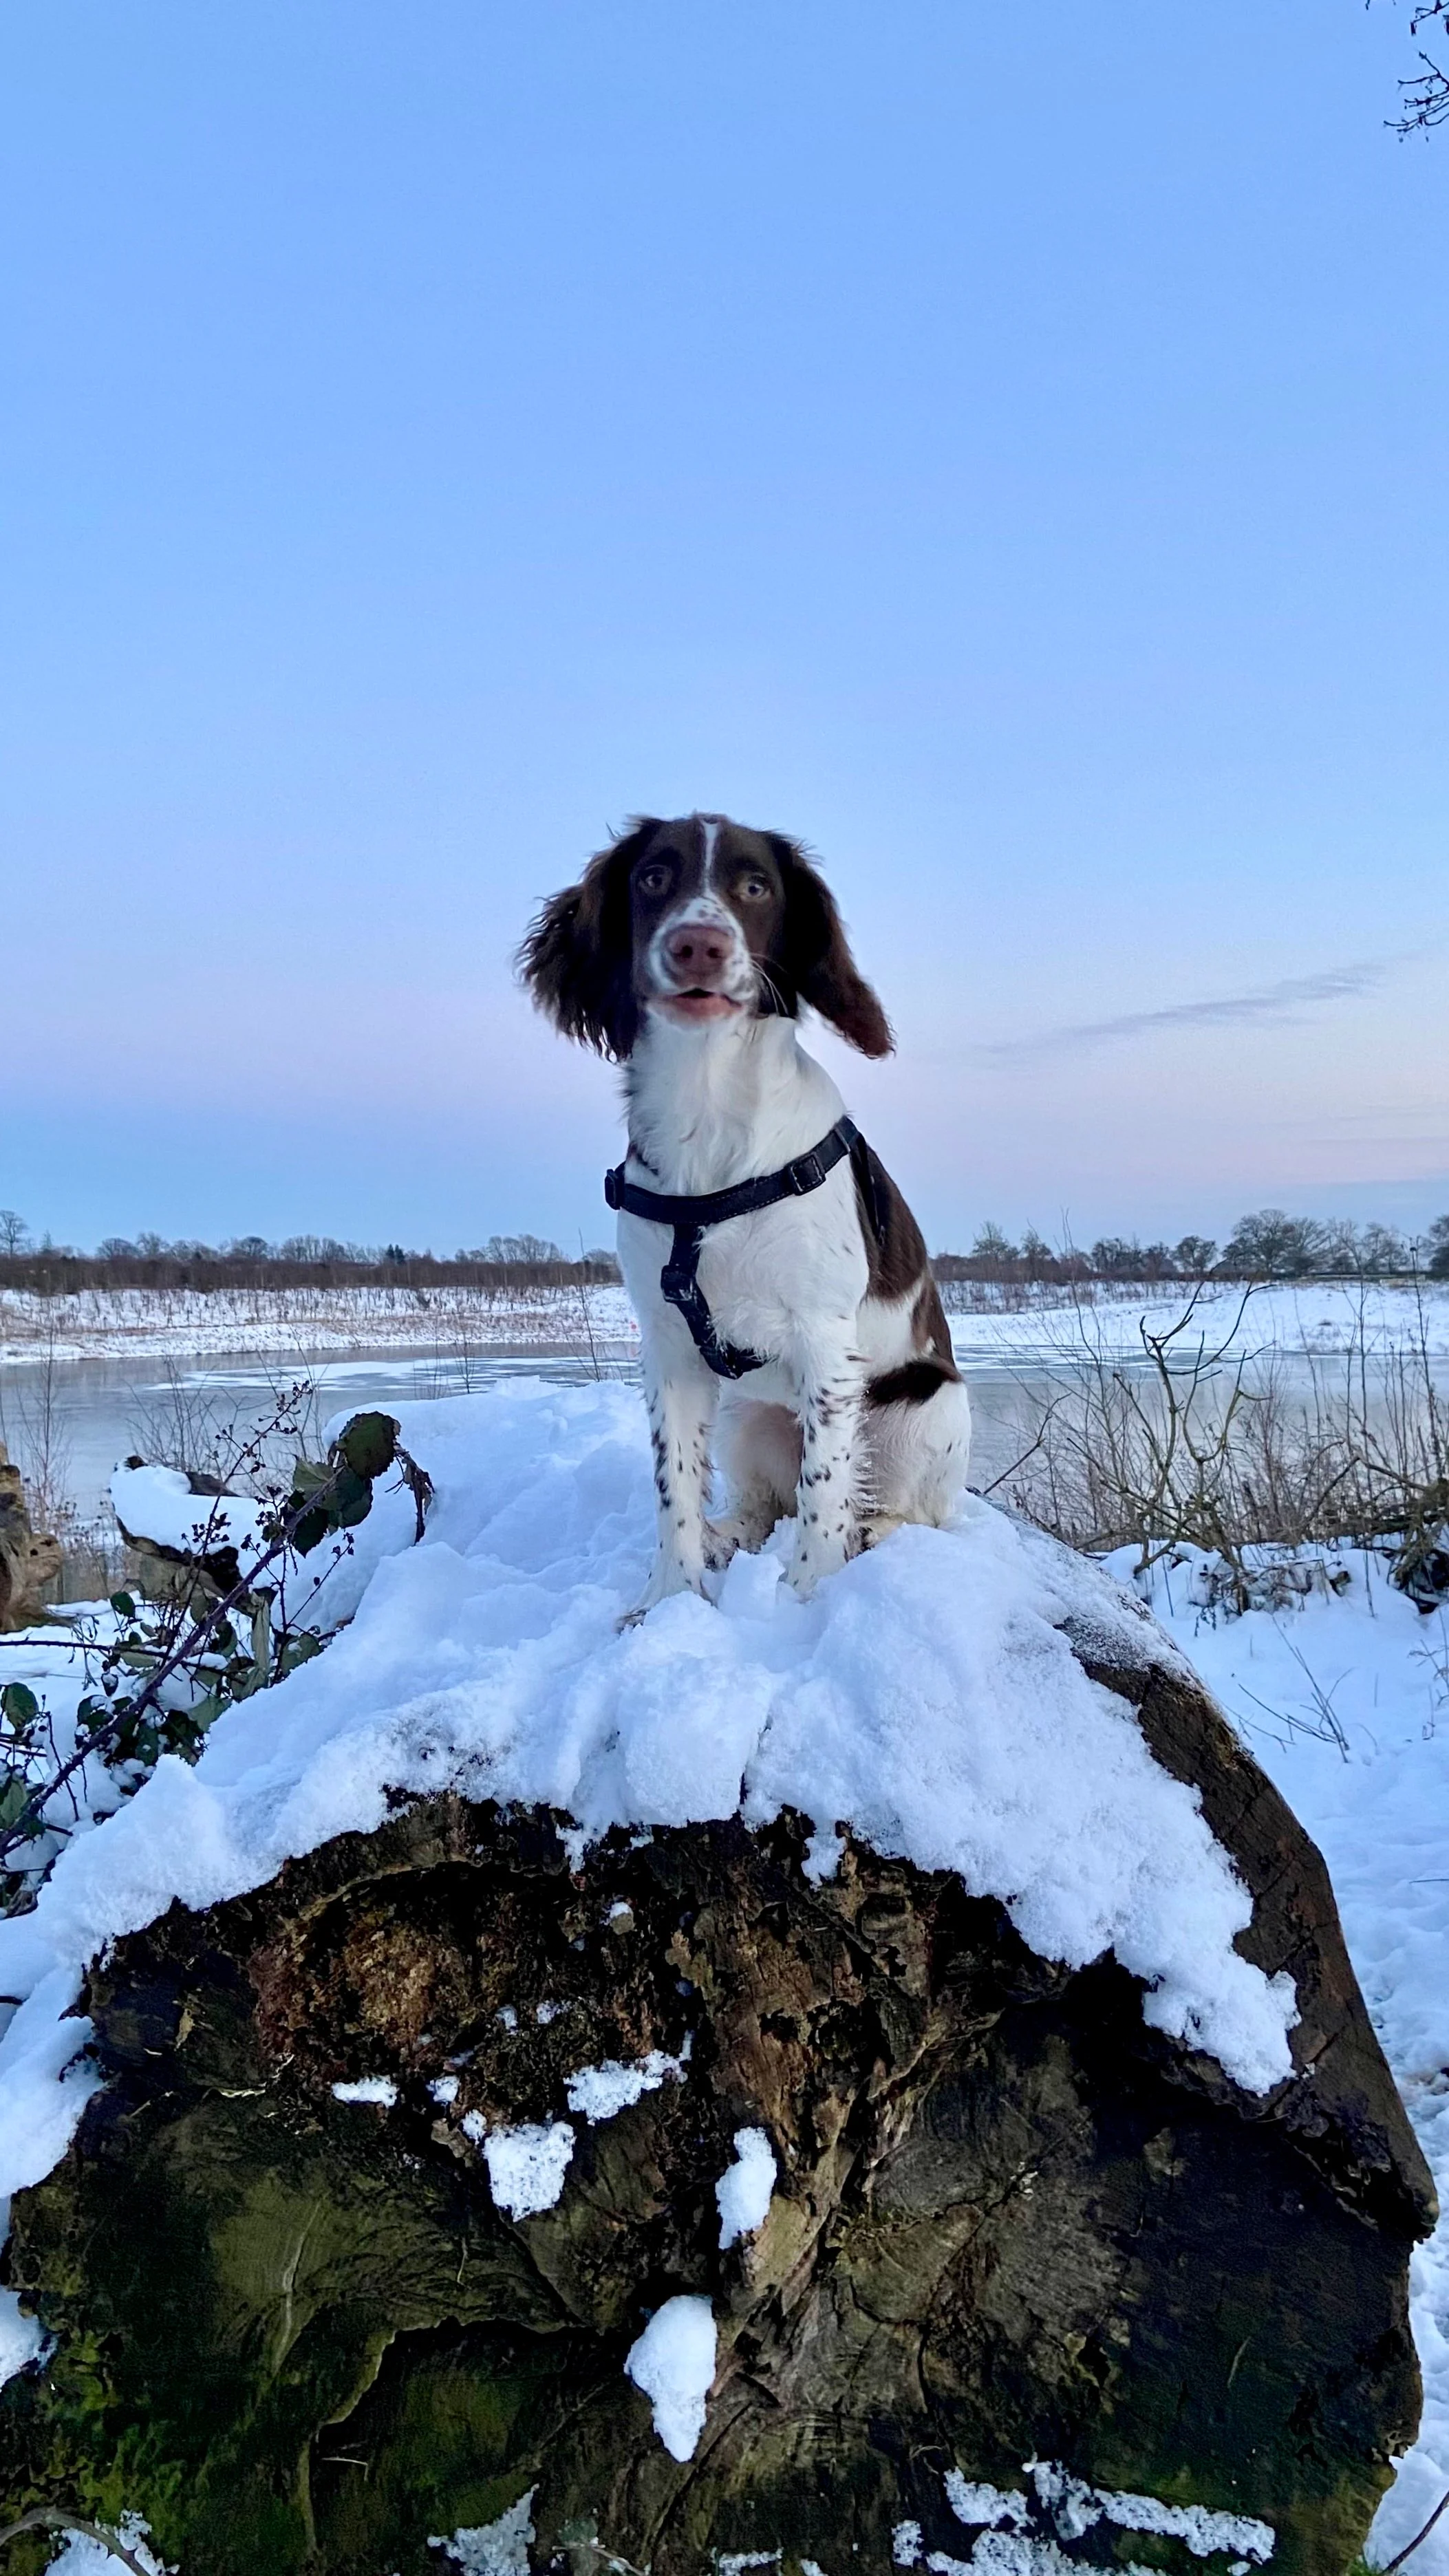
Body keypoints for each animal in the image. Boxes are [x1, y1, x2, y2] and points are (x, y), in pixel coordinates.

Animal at [518, 804, 969, 1607]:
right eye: (653, 877)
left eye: (756, 886)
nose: (699, 945)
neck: (709, 1111)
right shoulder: (667, 1345)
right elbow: (675, 1486)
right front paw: (668, 1600)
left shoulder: (825, 1338)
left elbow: (825, 1490)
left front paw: (801, 1600)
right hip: (745, 1417)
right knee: (765, 1503)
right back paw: (728, 1536)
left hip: (930, 1405)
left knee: (908, 1510)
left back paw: (874, 1532)